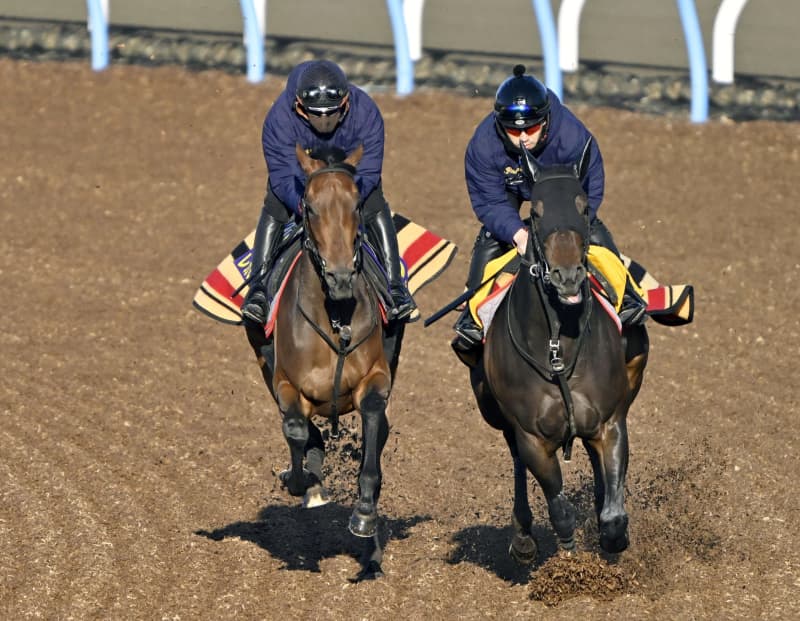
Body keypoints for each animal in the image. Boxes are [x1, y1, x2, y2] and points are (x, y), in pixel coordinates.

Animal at [244, 143, 404, 580]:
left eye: (356, 204)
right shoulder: (284, 382)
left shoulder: (376, 377)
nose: (341, 276)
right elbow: (297, 429)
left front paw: (365, 515)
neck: (336, 315)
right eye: (311, 207)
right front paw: (305, 484)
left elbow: (372, 428)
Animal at [468, 143, 648, 560]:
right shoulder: (531, 435)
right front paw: (568, 554)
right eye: (536, 211)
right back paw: (522, 536)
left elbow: (613, 514)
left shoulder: (610, 422)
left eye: (583, 206)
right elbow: (559, 507)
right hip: (495, 414)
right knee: (517, 462)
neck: (557, 349)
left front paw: (612, 537)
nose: (567, 276)